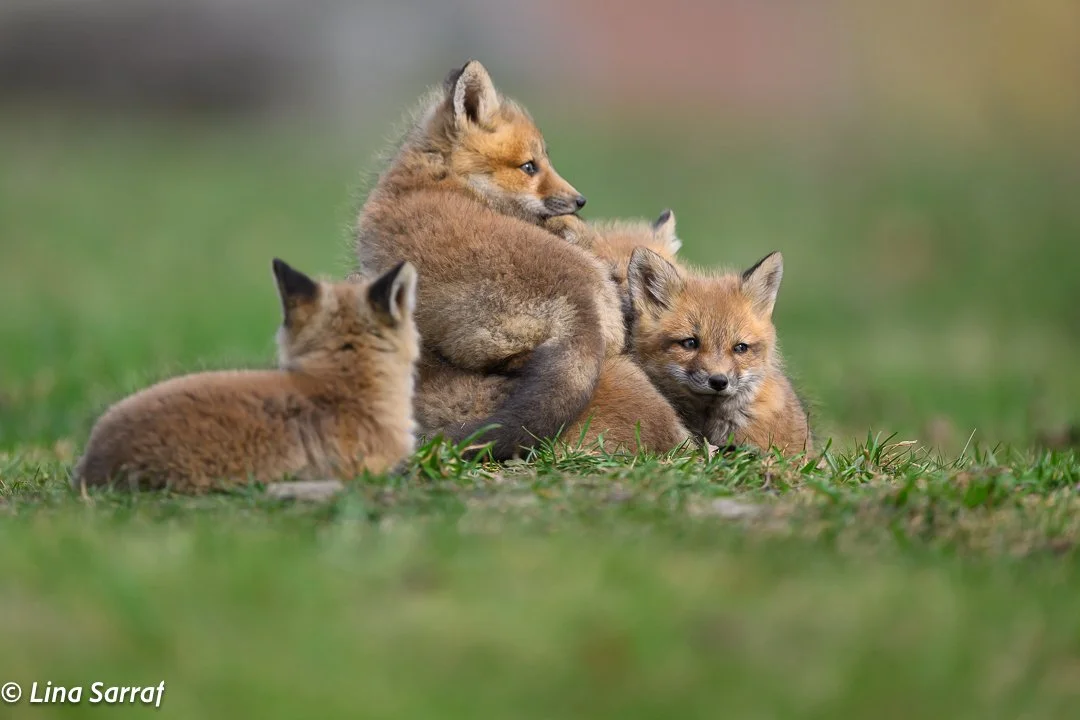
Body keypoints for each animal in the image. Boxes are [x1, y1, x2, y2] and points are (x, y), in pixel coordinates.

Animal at [354, 59, 624, 460]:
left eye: (540, 163)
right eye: (529, 167)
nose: (580, 201)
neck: (436, 175)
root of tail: (581, 298)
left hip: (467, 336)